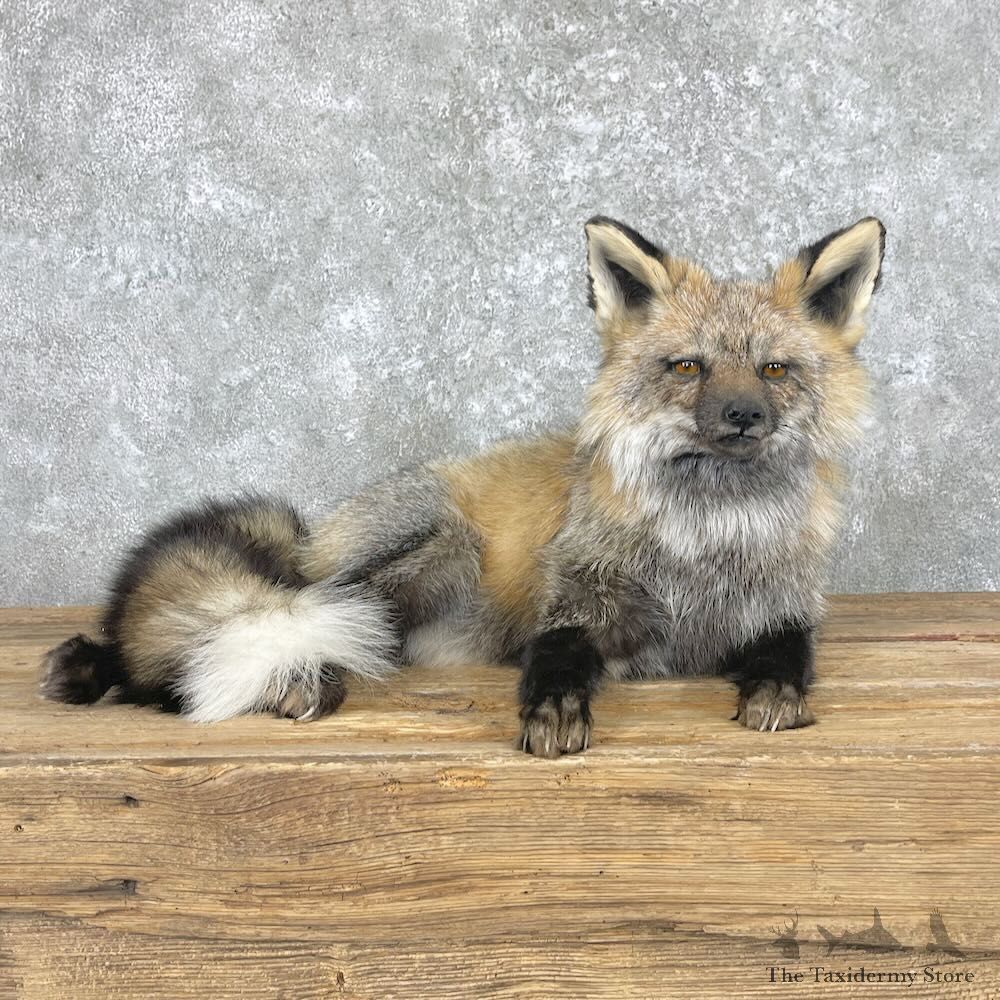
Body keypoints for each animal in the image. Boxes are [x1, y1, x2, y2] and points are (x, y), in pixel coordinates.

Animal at [41, 214, 885, 756]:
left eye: (773, 369)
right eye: (688, 366)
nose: (743, 415)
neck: (705, 543)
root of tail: (314, 533)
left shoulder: (781, 610)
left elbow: (787, 658)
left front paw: (776, 695)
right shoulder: (576, 606)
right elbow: (557, 659)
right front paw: (554, 708)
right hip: (439, 549)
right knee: (261, 628)